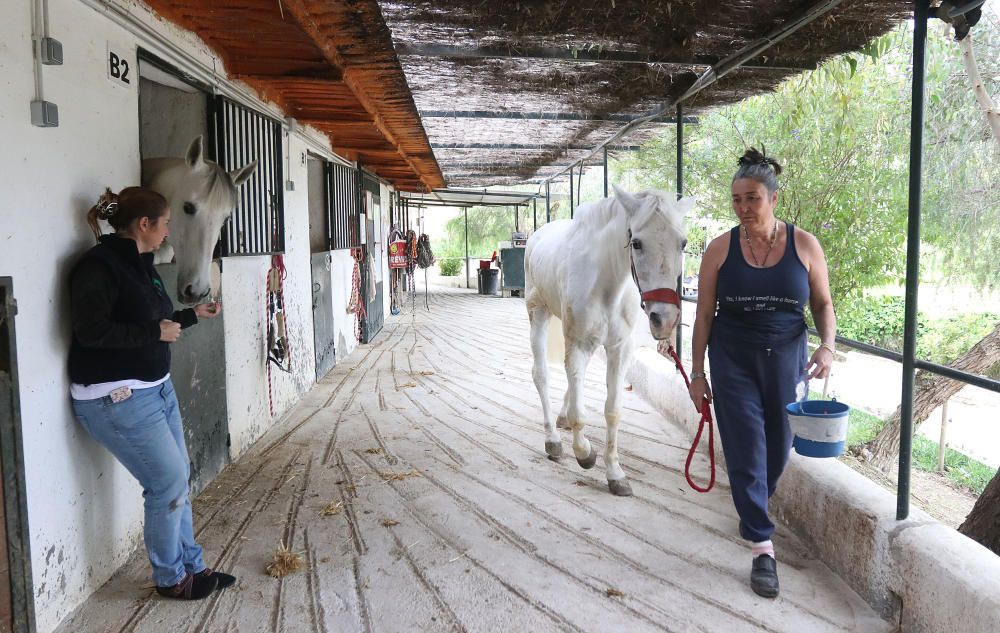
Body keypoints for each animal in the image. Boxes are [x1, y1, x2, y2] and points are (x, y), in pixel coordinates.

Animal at [524, 185, 696, 496]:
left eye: (683, 242)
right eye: (636, 243)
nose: (663, 319)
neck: (606, 284)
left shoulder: (619, 348)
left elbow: (613, 410)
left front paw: (615, 473)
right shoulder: (577, 343)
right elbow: (580, 413)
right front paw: (585, 454)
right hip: (538, 313)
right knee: (541, 375)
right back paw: (553, 440)